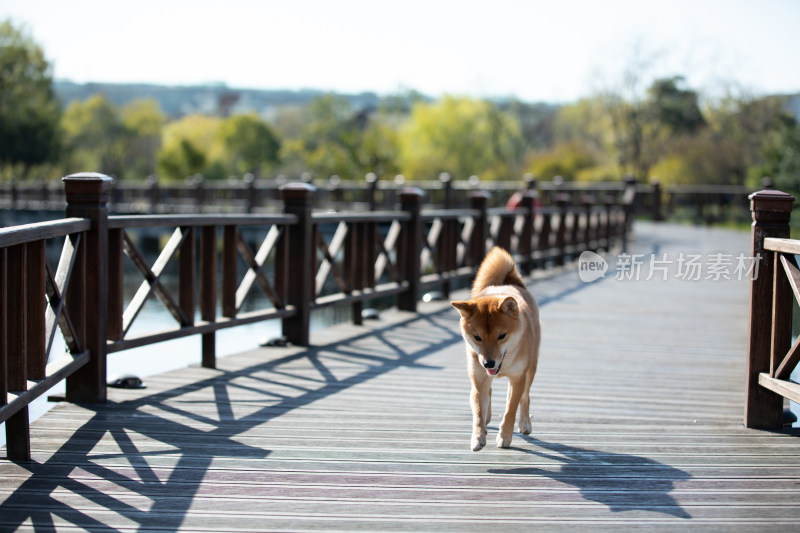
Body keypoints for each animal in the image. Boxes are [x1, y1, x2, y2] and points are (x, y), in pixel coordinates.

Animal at [454, 247, 540, 450]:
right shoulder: (479, 378)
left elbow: (511, 409)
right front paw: (478, 437)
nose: (488, 363)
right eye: (477, 337)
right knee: (489, 393)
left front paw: (505, 437)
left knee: (525, 397)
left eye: (502, 336)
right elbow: (478, 408)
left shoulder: (518, 378)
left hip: (531, 368)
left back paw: (525, 423)